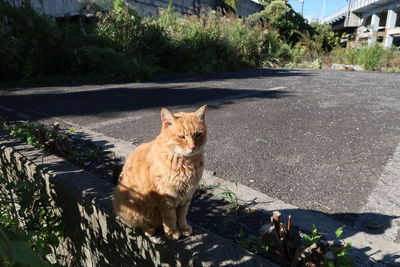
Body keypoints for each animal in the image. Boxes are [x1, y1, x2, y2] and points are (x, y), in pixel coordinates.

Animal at [111, 105, 206, 241]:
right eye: (181, 137)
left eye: (198, 135)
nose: (193, 147)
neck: (187, 163)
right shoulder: (166, 199)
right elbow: (170, 218)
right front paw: (172, 232)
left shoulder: (187, 197)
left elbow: (182, 215)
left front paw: (183, 228)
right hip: (128, 205)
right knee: (142, 223)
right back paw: (149, 229)